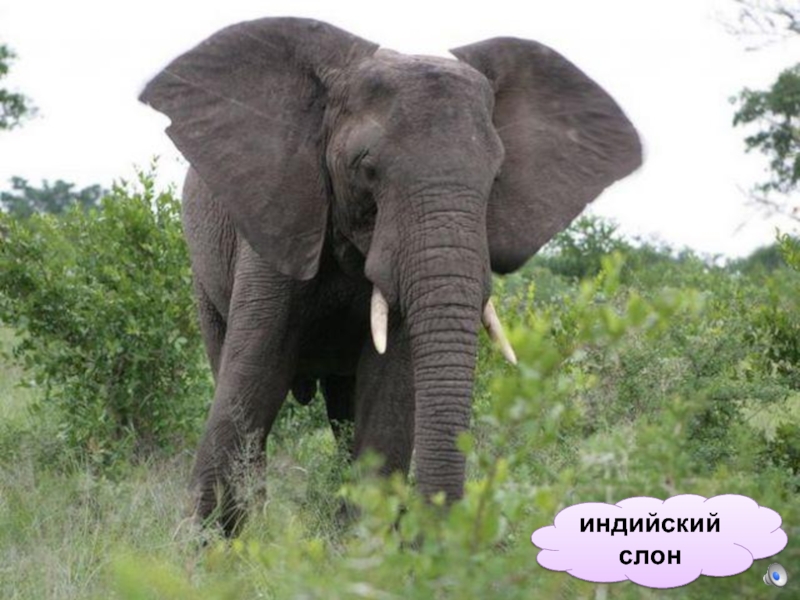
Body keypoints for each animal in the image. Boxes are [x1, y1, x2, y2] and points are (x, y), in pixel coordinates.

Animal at [139, 17, 641, 536]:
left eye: (497, 175)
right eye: (366, 168)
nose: (436, 530)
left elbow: (387, 392)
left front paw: (361, 548)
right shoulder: (278, 215)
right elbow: (255, 375)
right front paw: (213, 548)